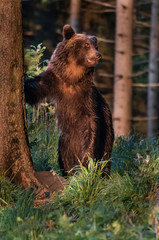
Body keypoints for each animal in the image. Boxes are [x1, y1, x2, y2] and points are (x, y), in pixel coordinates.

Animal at [24, 24, 114, 176]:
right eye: (86, 45)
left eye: (96, 46)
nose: (98, 54)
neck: (72, 79)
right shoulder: (54, 81)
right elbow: (35, 88)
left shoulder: (87, 96)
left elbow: (90, 122)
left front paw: (86, 162)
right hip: (64, 143)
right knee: (64, 158)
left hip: (106, 135)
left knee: (105, 159)